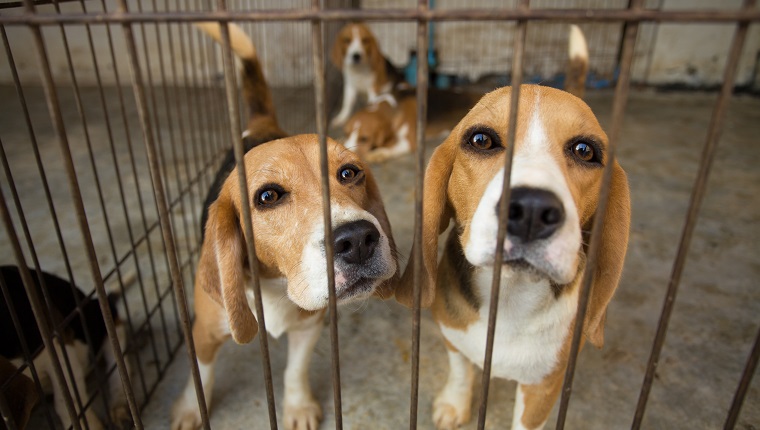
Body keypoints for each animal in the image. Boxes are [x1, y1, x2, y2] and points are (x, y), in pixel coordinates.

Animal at [171, 22, 398, 430]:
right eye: (267, 196)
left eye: (349, 172)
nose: (358, 239)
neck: (276, 285)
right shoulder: (203, 332)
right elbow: (202, 372)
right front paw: (191, 409)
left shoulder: (310, 325)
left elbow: (295, 370)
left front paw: (298, 406)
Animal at [394, 26, 632, 430]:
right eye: (481, 140)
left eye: (585, 150)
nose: (532, 210)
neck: (509, 298)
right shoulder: (453, 336)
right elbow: (461, 371)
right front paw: (455, 404)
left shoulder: (544, 386)